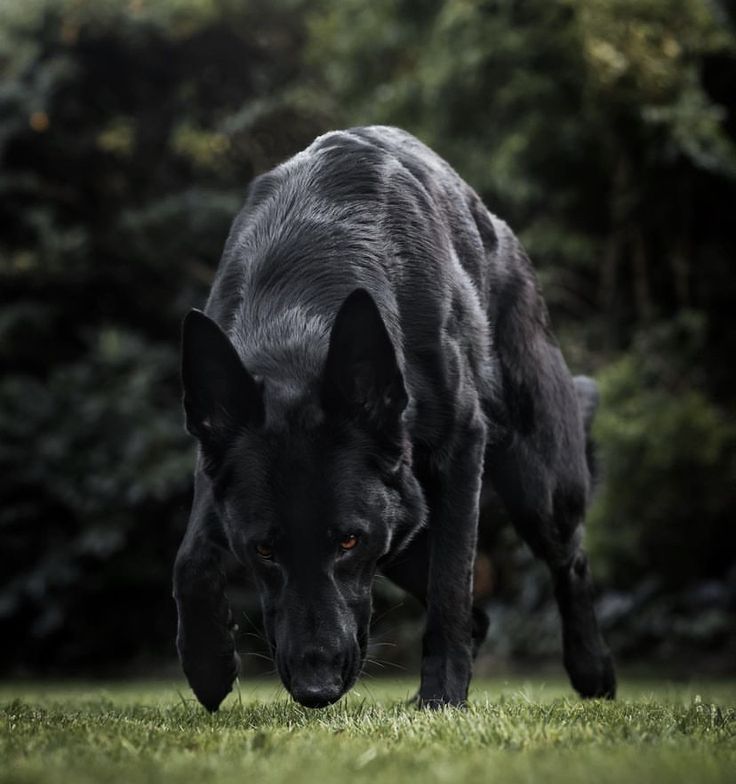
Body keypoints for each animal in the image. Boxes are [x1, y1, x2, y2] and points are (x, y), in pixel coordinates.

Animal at [174, 124, 616, 712]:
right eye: (263, 549)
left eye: (347, 542)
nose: (316, 689)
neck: (300, 323)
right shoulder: (215, 462)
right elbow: (190, 558)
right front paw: (206, 664)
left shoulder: (461, 450)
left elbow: (451, 586)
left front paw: (443, 697)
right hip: (405, 525)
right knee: (479, 614)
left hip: (534, 484)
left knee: (569, 561)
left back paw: (592, 668)